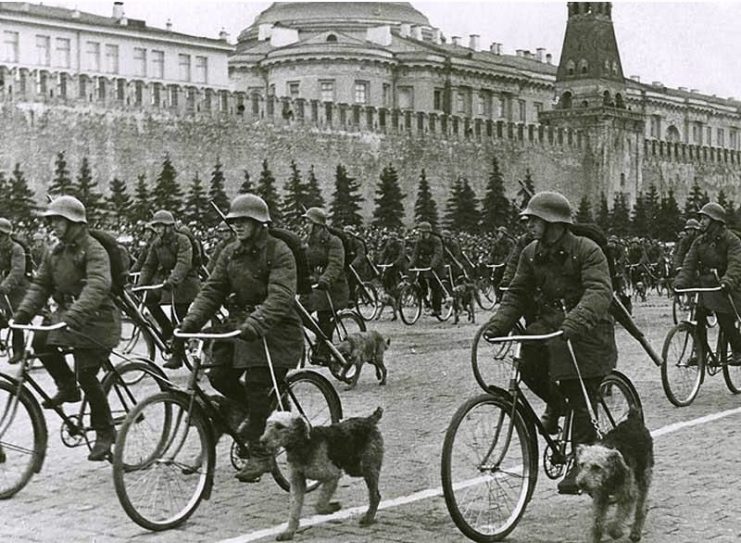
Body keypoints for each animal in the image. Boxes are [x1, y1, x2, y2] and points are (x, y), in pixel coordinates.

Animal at [260, 406, 384, 540]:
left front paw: (332, 507)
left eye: (280, 426)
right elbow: (294, 510)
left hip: (367, 467)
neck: (302, 445)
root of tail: (369, 420)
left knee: (375, 495)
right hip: (354, 468)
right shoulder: (297, 482)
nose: (262, 441)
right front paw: (288, 532)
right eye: (267, 424)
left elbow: (319, 504)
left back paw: (368, 518)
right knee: (375, 492)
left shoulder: (332, 475)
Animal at [576, 410, 652, 540]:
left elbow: (619, 517)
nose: (582, 483)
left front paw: (615, 532)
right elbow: (597, 521)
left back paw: (635, 532)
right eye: (581, 464)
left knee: (641, 508)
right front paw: (596, 535)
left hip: (643, 477)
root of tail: (633, 418)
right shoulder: (600, 497)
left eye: (597, 467)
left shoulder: (628, 495)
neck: (610, 477)